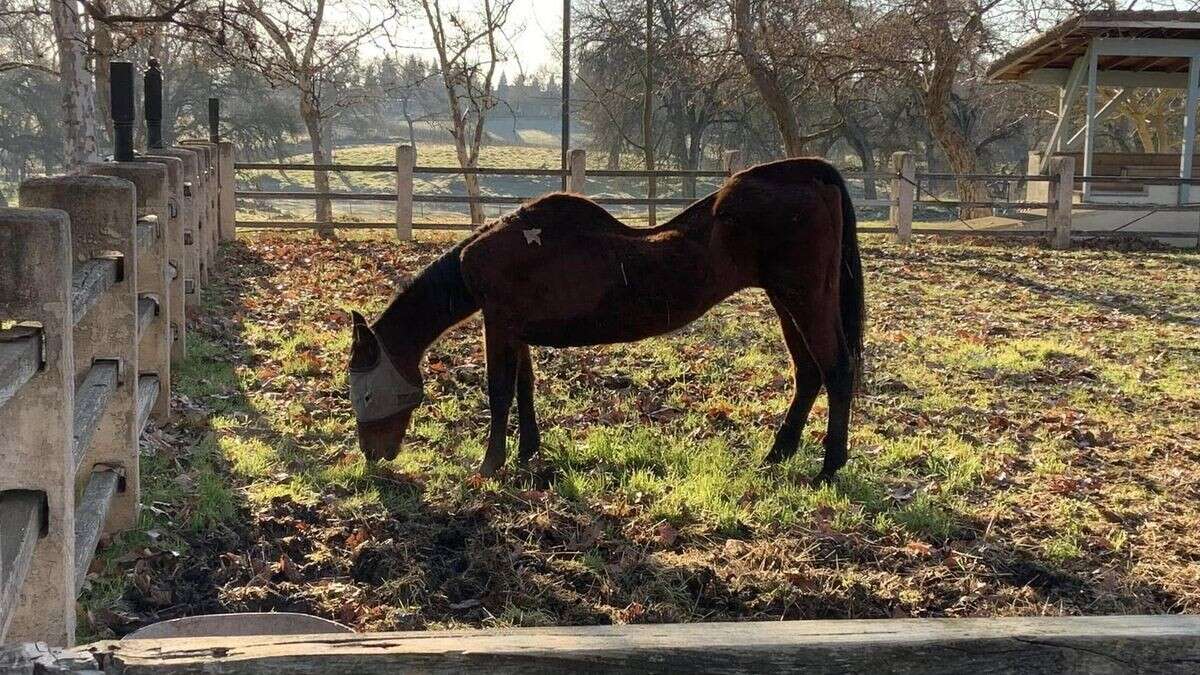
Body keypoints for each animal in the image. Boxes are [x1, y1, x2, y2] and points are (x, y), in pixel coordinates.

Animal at [348, 157, 864, 480]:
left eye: (367, 392)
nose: (373, 456)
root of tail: (808, 174)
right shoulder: (515, 330)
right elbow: (524, 388)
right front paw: (527, 453)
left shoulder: (498, 326)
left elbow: (499, 393)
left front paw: (490, 465)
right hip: (785, 300)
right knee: (808, 373)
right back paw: (778, 454)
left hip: (805, 298)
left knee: (837, 370)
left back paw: (829, 468)